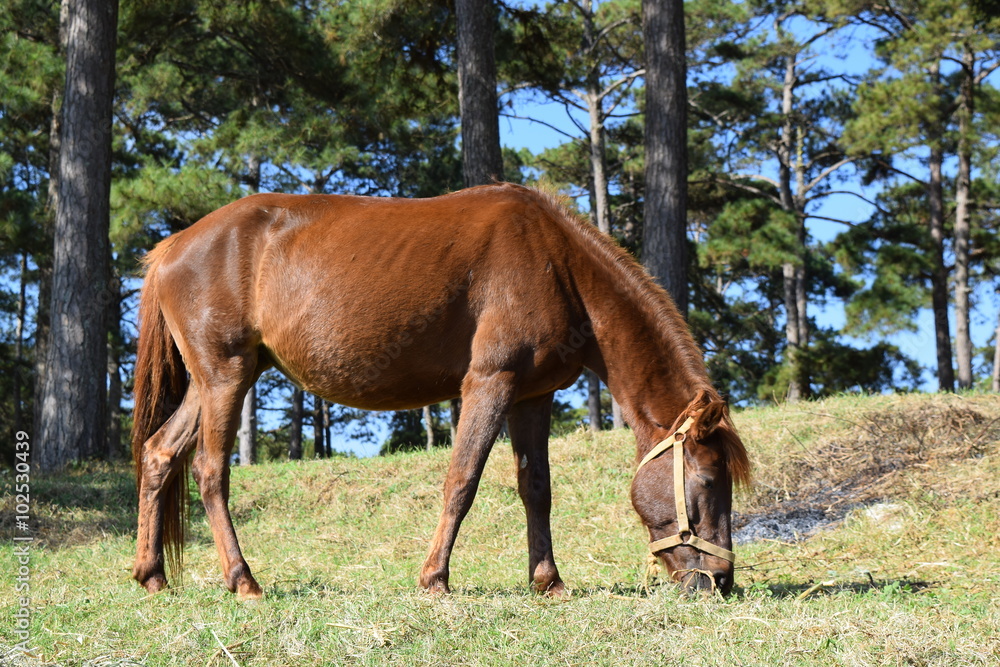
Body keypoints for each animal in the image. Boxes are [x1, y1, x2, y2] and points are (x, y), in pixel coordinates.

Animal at [129, 183, 748, 600]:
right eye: (706, 481)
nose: (721, 581)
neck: (558, 263)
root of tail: (171, 247)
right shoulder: (490, 383)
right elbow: (463, 480)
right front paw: (435, 578)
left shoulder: (533, 396)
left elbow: (536, 489)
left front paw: (547, 581)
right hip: (226, 378)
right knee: (210, 471)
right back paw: (243, 579)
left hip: (214, 381)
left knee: (159, 454)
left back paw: (152, 574)